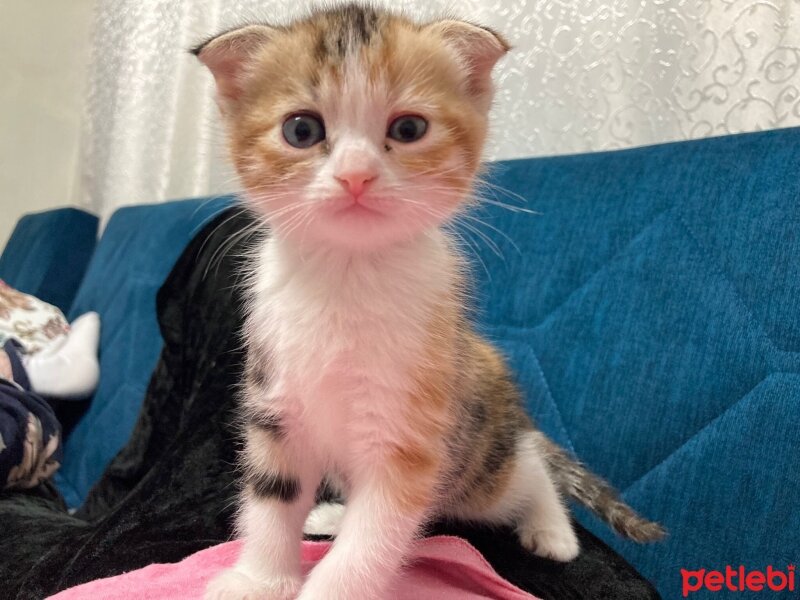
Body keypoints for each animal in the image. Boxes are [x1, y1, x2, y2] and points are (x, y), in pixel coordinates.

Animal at [194, 5, 664, 600]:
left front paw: (330, 586)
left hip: (477, 459)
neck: (347, 276)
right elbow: (272, 496)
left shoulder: (412, 430)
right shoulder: (276, 403)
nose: (355, 175)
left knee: (526, 469)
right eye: (301, 130)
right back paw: (333, 516)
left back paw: (552, 529)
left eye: (409, 129)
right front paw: (259, 579)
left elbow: (375, 536)